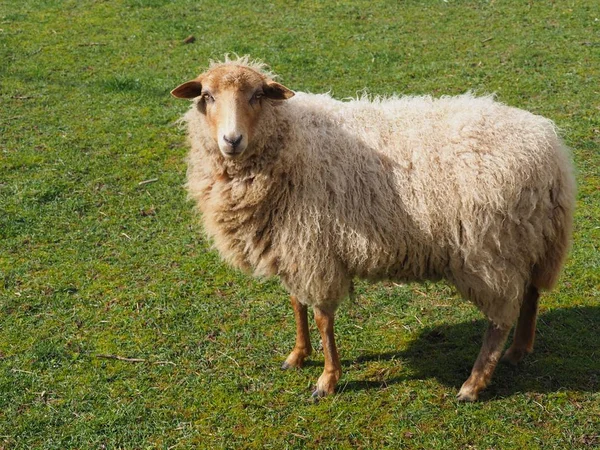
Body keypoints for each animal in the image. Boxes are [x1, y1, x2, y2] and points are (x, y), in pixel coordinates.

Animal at [171, 56, 576, 400]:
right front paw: (298, 355)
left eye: (257, 95)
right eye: (207, 96)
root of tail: (550, 148)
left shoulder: (315, 248)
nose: (232, 140)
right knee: (532, 292)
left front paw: (327, 380)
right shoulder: (292, 246)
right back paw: (519, 350)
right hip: (531, 238)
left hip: (491, 250)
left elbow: (322, 318)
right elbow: (297, 304)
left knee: (500, 318)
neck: (290, 139)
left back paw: (473, 384)